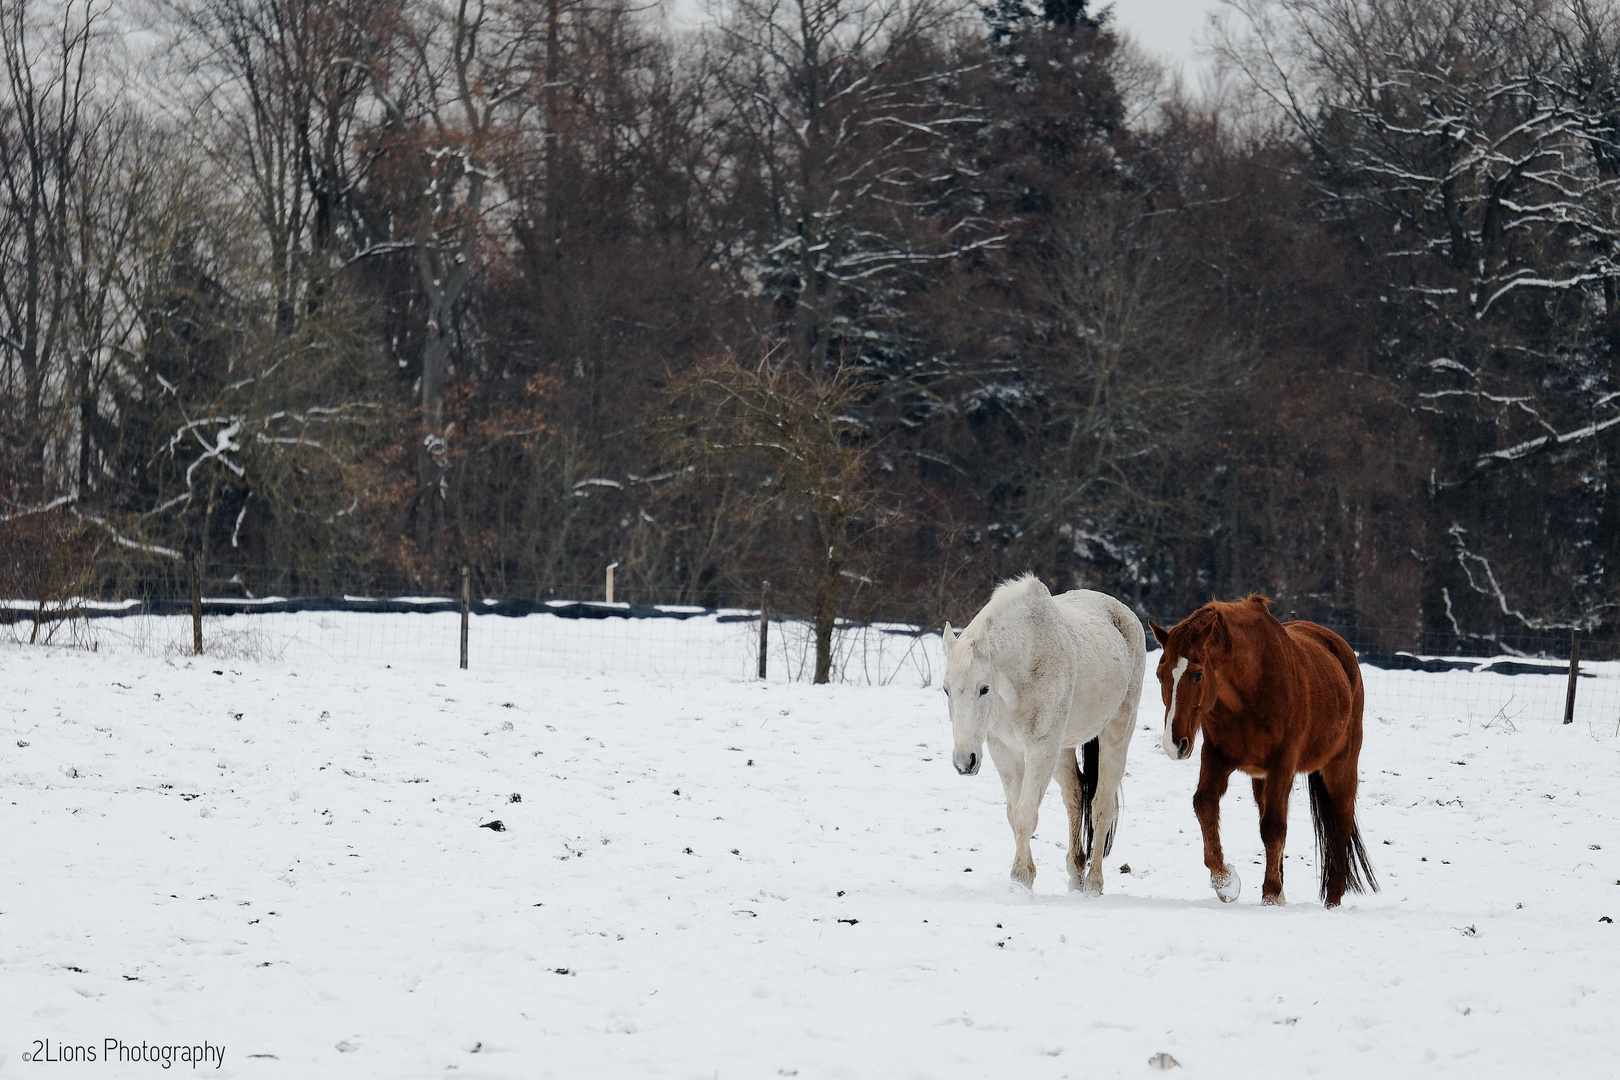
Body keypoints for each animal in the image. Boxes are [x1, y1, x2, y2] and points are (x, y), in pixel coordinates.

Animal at [946, 579, 1146, 893]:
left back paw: (1093, 884)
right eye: (946, 690)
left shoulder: (1040, 749)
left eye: (984, 689)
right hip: (1063, 748)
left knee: (1101, 804)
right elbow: (1014, 814)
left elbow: (1026, 815)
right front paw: (1022, 880)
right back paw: (1076, 874)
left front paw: (1021, 881)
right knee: (1076, 796)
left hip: (1116, 734)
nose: (964, 762)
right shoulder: (1004, 750)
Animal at [1140, 595, 1380, 906]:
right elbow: (1205, 805)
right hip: (1261, 778)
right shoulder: (1217, 757)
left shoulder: (1283, 764)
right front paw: (1225, 883)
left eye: (1198, 675)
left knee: (1340, 821)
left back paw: (1332, 900)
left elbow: (1274, 827)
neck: (1251, 690)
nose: (1174, 744)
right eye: (1159, 675)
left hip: (1340, 765)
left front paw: (1270, 894)